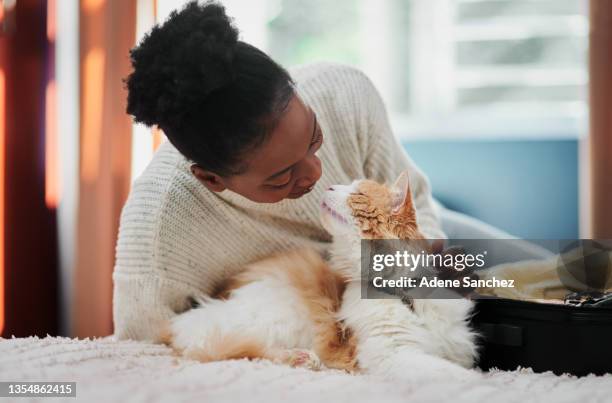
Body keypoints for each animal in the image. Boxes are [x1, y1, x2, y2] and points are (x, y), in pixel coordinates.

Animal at [163, 172, 478, 380]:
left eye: (357, 193)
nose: (329, 184)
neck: (403, 293)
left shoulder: (457, 349)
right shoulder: (391, 352)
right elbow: (454, 376)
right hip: (275, 317)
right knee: (228, 348)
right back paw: (300, 358)